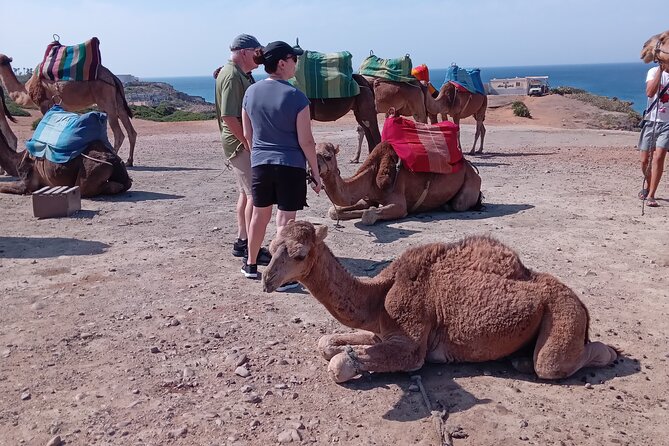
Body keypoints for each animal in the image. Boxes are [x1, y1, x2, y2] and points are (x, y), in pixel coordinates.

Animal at [0, 54, 137, 166]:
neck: (26, 90)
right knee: (130, 130)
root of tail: (113, 77)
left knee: (119, 133)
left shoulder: (44, 104)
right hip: (118, 100)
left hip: (106, 99)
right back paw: (129, 161)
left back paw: (113, 159)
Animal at [0, 130, 132, 197]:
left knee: (85, 188)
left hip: (95, 169)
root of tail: (112, 159)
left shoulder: (28, 182)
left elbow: (4, 186)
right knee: (127, 183)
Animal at [262, 220, 619, 383]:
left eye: (299, 254)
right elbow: (326, 343)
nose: (266, 279)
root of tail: (581, 304)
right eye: (272, 245)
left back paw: (610, 353)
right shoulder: (381, 331)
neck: (380, 295)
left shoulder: (411, 343)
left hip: (562, 313)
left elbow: (339, 364)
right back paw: (518, 361)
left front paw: (347, 361)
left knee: (553, 363)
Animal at [316, 141, 481, 224]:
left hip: (470, 182)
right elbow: (334, 211)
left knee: (459, 203)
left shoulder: (399, 204)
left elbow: (368, 216)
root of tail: (470, 166)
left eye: (328, 156)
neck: (372, 173)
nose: (314, 168)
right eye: (313, 150)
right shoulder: (368, 198)